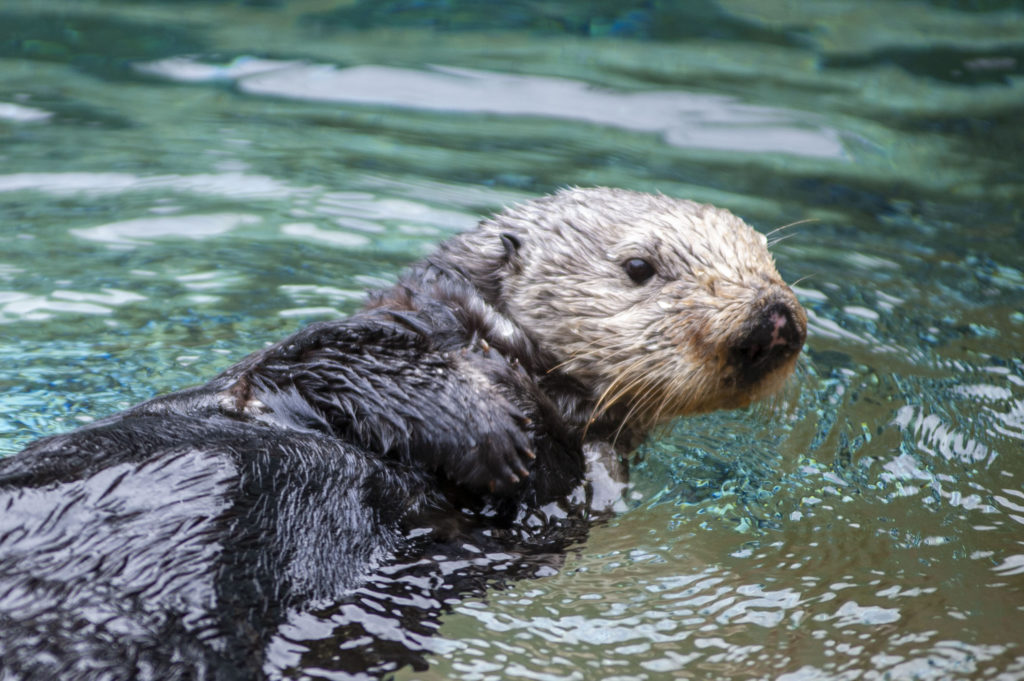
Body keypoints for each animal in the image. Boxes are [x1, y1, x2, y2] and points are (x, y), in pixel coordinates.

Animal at [0, 188, 798, 679]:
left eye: (766, 257)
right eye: (639, 266)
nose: (776, 313)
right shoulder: (314, 357)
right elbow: (336, 363)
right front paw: (491, 430)